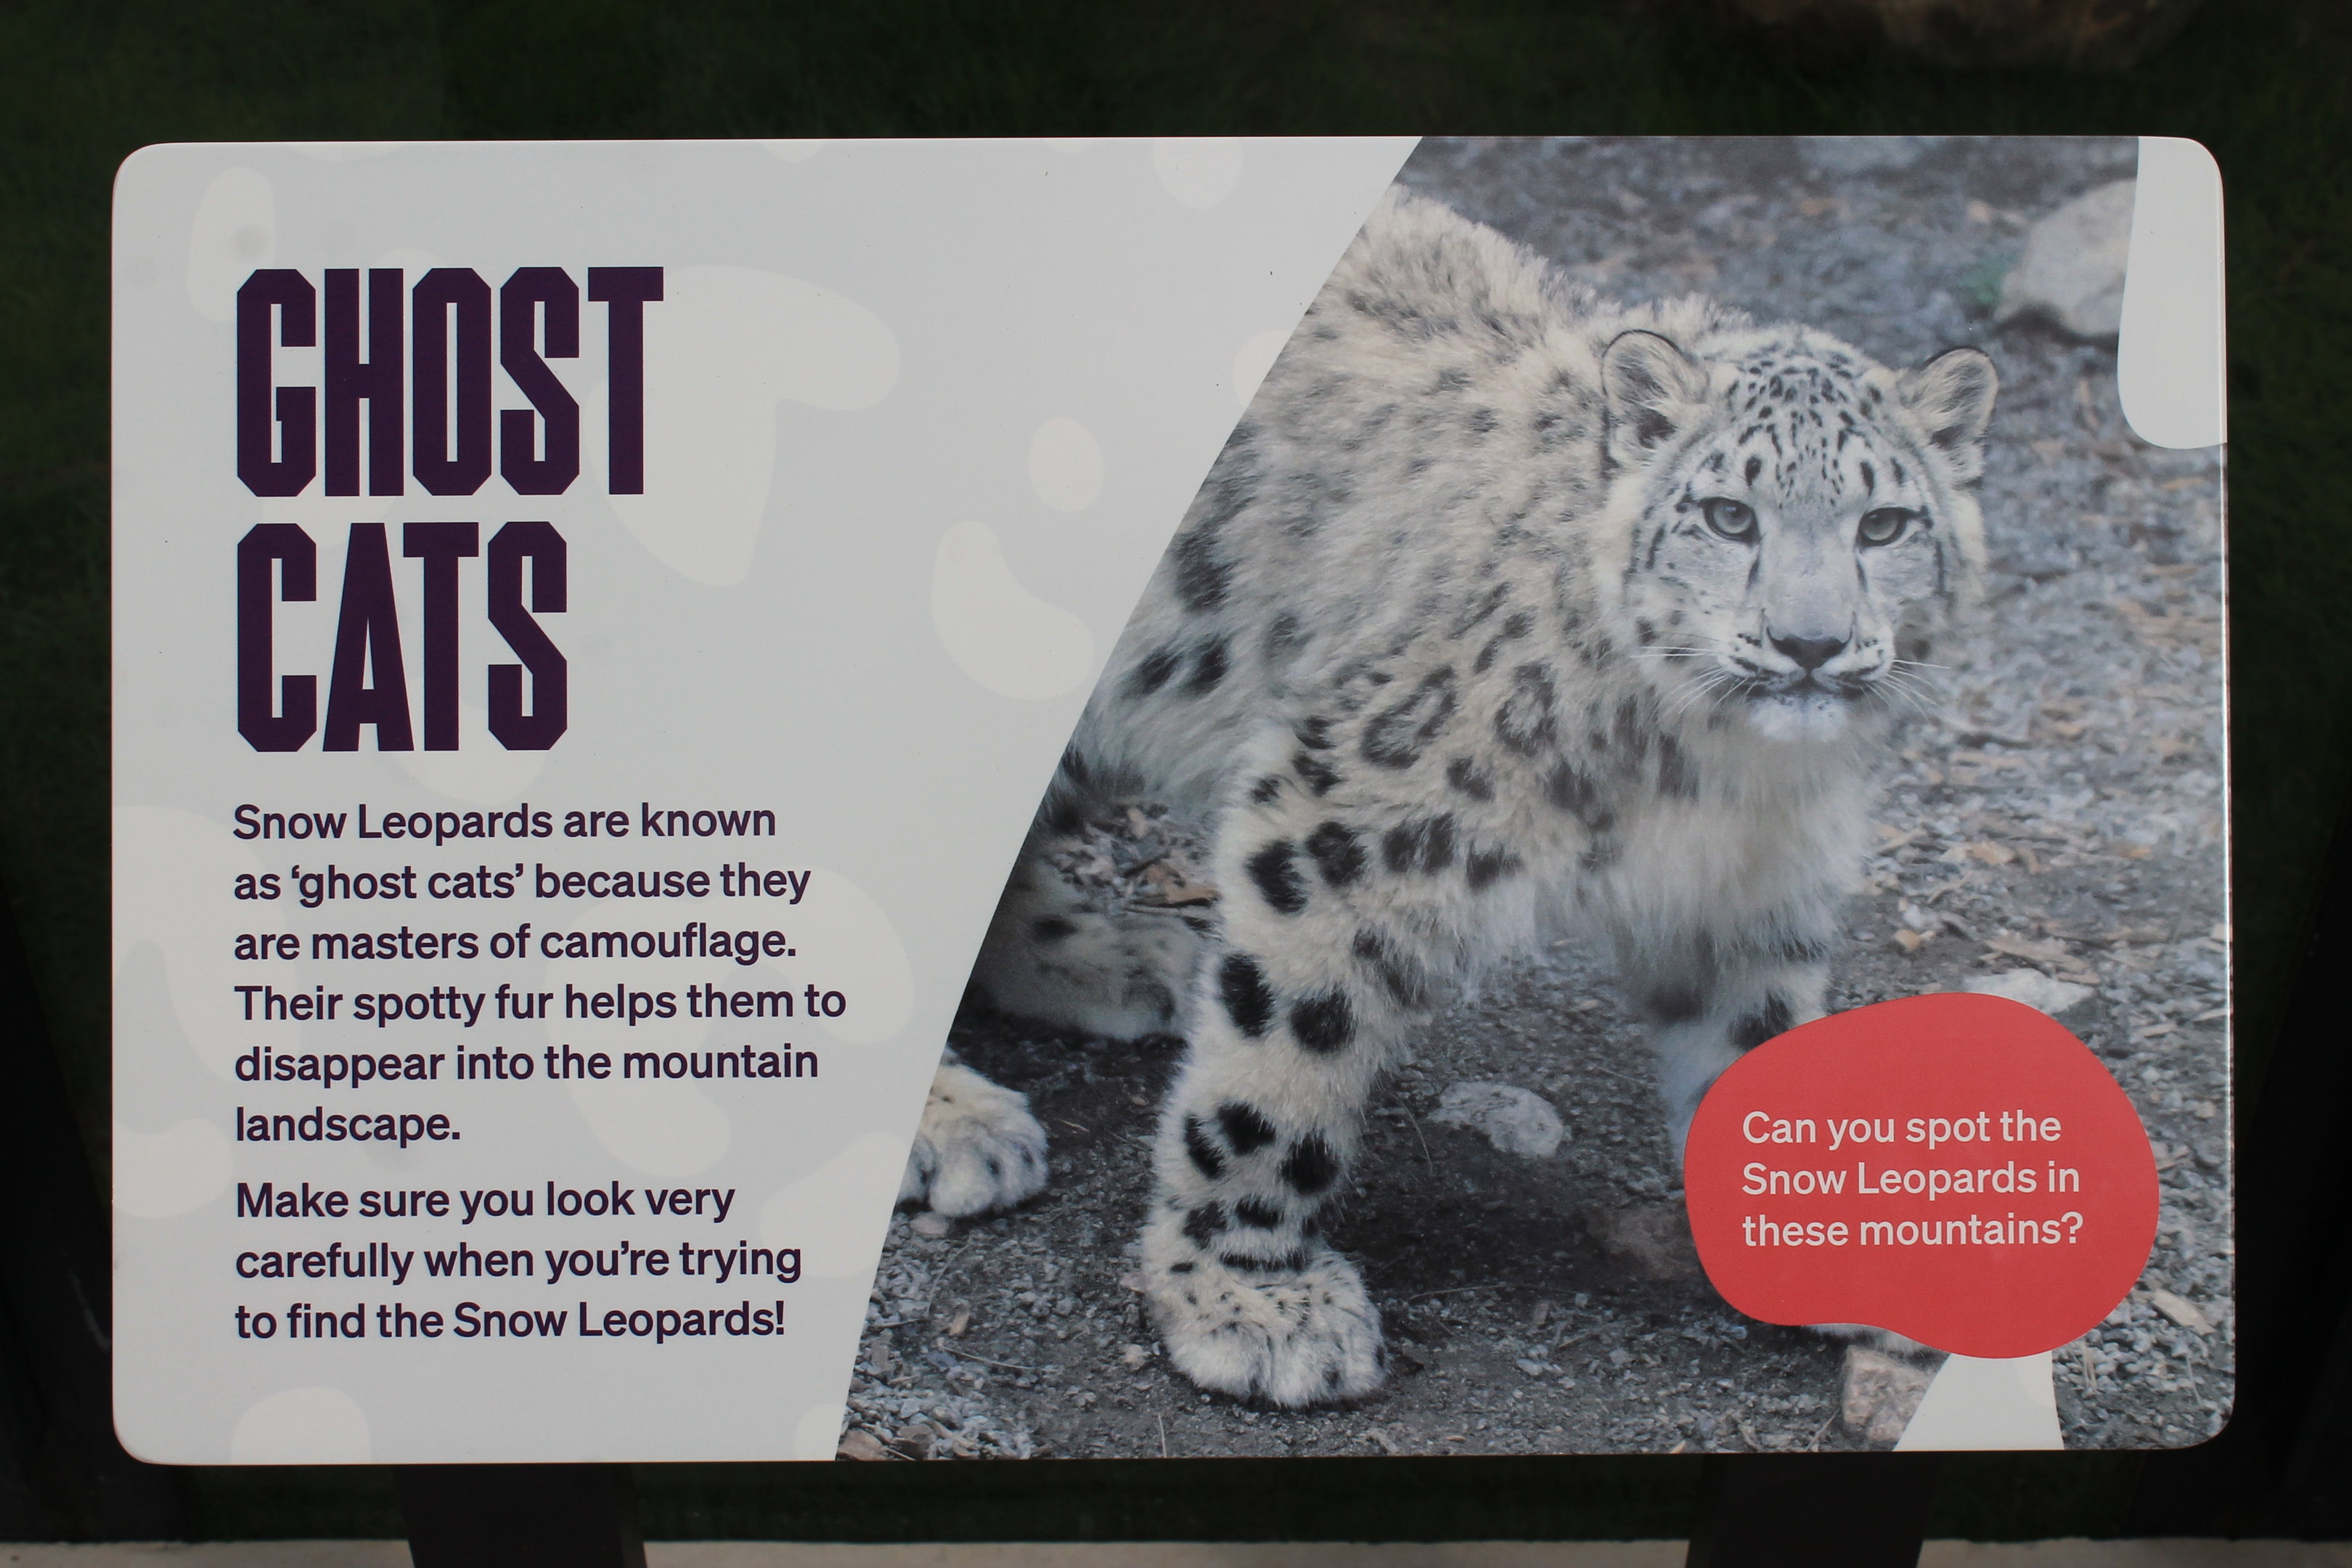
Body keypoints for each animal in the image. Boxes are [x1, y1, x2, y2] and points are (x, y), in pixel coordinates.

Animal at [897, 187, 1998, 1408]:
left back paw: (1117, 957)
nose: (1811, 645)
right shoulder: (1345, 816)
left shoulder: (1758, 889)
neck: (1719, 769)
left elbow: (1764, 1053)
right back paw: (957, 1121)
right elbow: (1277, 1074)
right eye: (1727, 516)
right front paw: (1252, 1297)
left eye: (1884, 527)